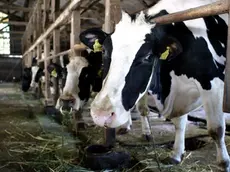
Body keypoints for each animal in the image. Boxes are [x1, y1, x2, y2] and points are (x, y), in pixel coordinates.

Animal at [79, 0, 230, 169]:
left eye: (147, 56)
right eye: (104, 51)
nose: (101, 115)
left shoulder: (213, 84)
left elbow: (216, 129)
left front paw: (224, 163)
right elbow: (179, 123)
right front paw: (176, 155)